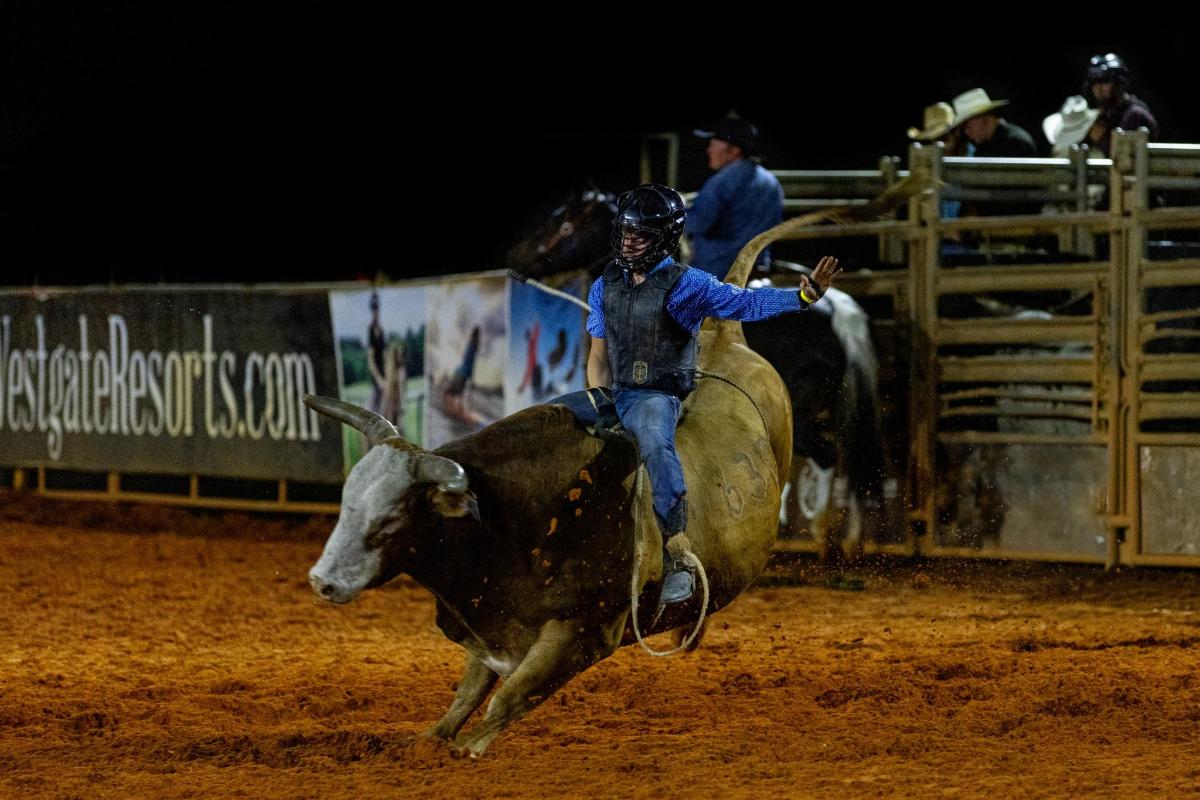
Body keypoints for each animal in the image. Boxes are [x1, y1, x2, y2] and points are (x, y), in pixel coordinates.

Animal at [304, 299, 793, 756]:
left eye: (391, 517)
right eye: (347, 502)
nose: (322, 580)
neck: (518, 522)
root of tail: (723, 335)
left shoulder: (582, 632)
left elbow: (510, 697)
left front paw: (467, 749)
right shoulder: (490, 624)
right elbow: (469, 693)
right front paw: (426, 740)